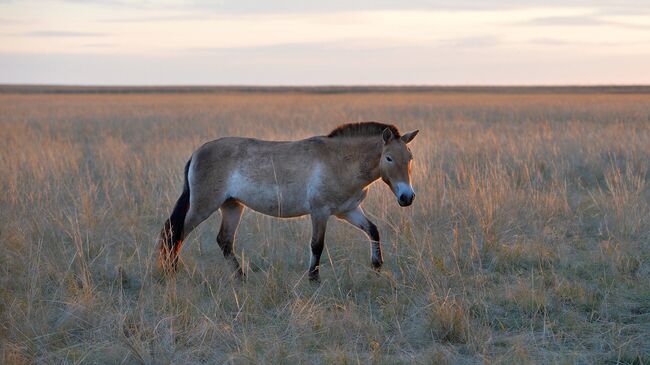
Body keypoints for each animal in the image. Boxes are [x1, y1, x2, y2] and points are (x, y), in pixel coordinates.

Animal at [159, 122, 418, 282]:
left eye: (410, 157)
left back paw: (241, 277)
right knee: (176, 233)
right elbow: (317, 245)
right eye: (389, 158)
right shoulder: (320, 212)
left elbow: (373, 231)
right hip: (203, 206)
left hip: (232, 206)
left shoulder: (349, 210)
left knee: (224, 241)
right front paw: (314, 279)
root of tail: (197, 153)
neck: (341, 161)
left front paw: (377, 265)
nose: (407, 197)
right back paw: (172, 272)